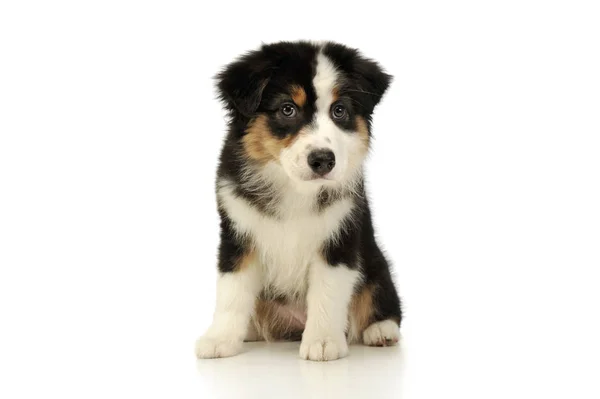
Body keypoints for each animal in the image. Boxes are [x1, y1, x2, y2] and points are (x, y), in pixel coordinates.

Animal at [197, 41, 404, 362]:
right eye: (287, 109)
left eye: (339, 110)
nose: (323, 160)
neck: (294, 187)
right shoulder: (236, 232)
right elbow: (232, 290)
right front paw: (220, 339)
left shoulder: (340, 237)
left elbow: (327, 292)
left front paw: (322, 341)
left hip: (375, 261)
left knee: (382, 297)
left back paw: (381, 331)